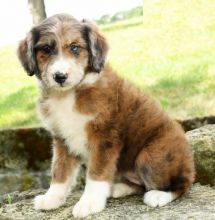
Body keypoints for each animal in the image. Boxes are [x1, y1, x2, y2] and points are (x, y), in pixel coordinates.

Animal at [17, 14, 195, 218]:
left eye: (74, 47)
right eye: (46, 49)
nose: (60, 76)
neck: (69, 94)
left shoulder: (104, 138)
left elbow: (96, 174)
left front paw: (89, 203)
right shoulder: (62, 140)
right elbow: (59, 171)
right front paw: (52, 198)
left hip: (149, 157)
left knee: (183, 183)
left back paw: (159, 195)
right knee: (141, 185)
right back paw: (118, 188)